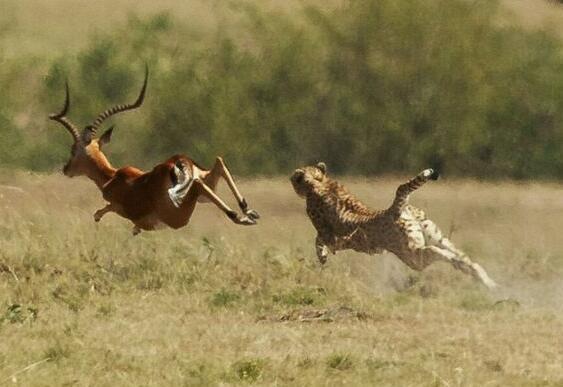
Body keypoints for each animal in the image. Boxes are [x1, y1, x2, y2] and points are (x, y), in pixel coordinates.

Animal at [290, 162, 498, 290]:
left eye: (294, 178)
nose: (292, 178)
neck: (318, 183)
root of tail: (394, 208)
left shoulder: (329, 236)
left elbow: (318, 241)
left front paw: (323, 256)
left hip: (411, 255)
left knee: (436, 253)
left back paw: (457, 262)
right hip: (438, 237)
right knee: (466, 259)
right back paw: (487, 281)